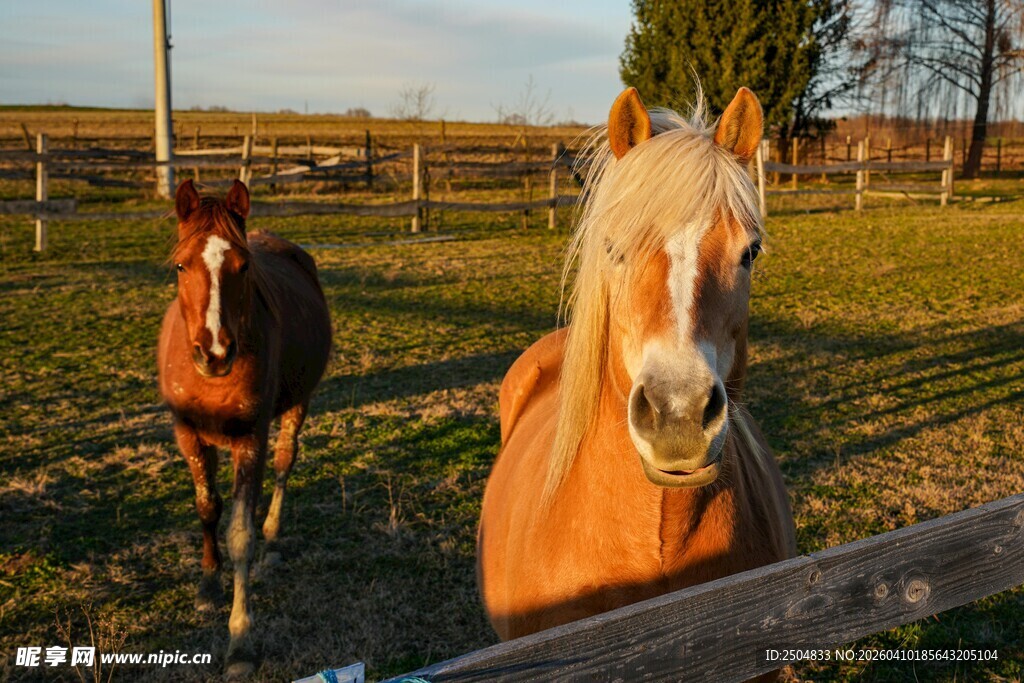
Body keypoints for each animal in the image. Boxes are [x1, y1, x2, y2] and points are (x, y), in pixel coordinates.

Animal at [157, 180, 331, 677]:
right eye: (181, 264)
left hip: (297, 404)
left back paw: (272, 544)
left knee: (284, 464)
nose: (215, 352)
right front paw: (207, 585)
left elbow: (240, 535)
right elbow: (207, 508)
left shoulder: (248, 439)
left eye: (244, 264)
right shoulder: (188, 434)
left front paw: (240, 643)